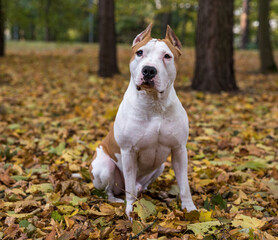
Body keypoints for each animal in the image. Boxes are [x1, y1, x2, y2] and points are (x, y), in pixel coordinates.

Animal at [90, 23, 197, 218]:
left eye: (167, 56)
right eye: (139, 52)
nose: (149, 70)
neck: (154, 104)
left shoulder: (179, 150)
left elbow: (184, 185)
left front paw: (190, 208)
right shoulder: (128, 152)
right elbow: (130, 187)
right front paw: (130, 210)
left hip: (160, 167)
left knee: (140, 184)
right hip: (104, 166)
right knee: (111, 190)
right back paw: (117, 199)